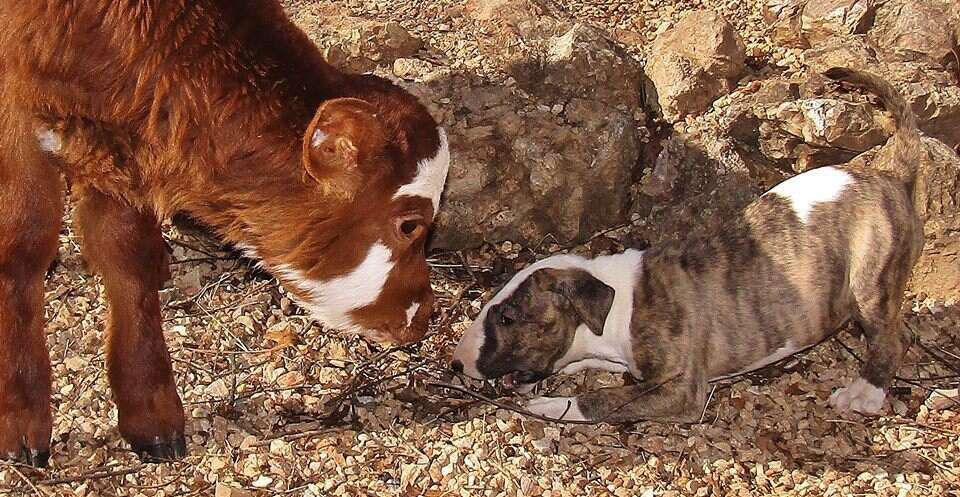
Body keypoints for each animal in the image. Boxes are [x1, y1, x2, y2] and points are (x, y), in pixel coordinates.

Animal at [0, 0, 450, 464]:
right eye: (410, 226)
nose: (426, 313)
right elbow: (25, 237)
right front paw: (21, 415)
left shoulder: (119, 137)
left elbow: (125, 247)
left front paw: (150, 410)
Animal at [454, 68, 928, 420]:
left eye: (509, 319)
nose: (457, 364)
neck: (619, 303)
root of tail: (889, 174)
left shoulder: (680, 389)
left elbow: (603, 400)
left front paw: (553, 405)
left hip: (872, 281)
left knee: (892, 338)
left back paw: (865, 391)